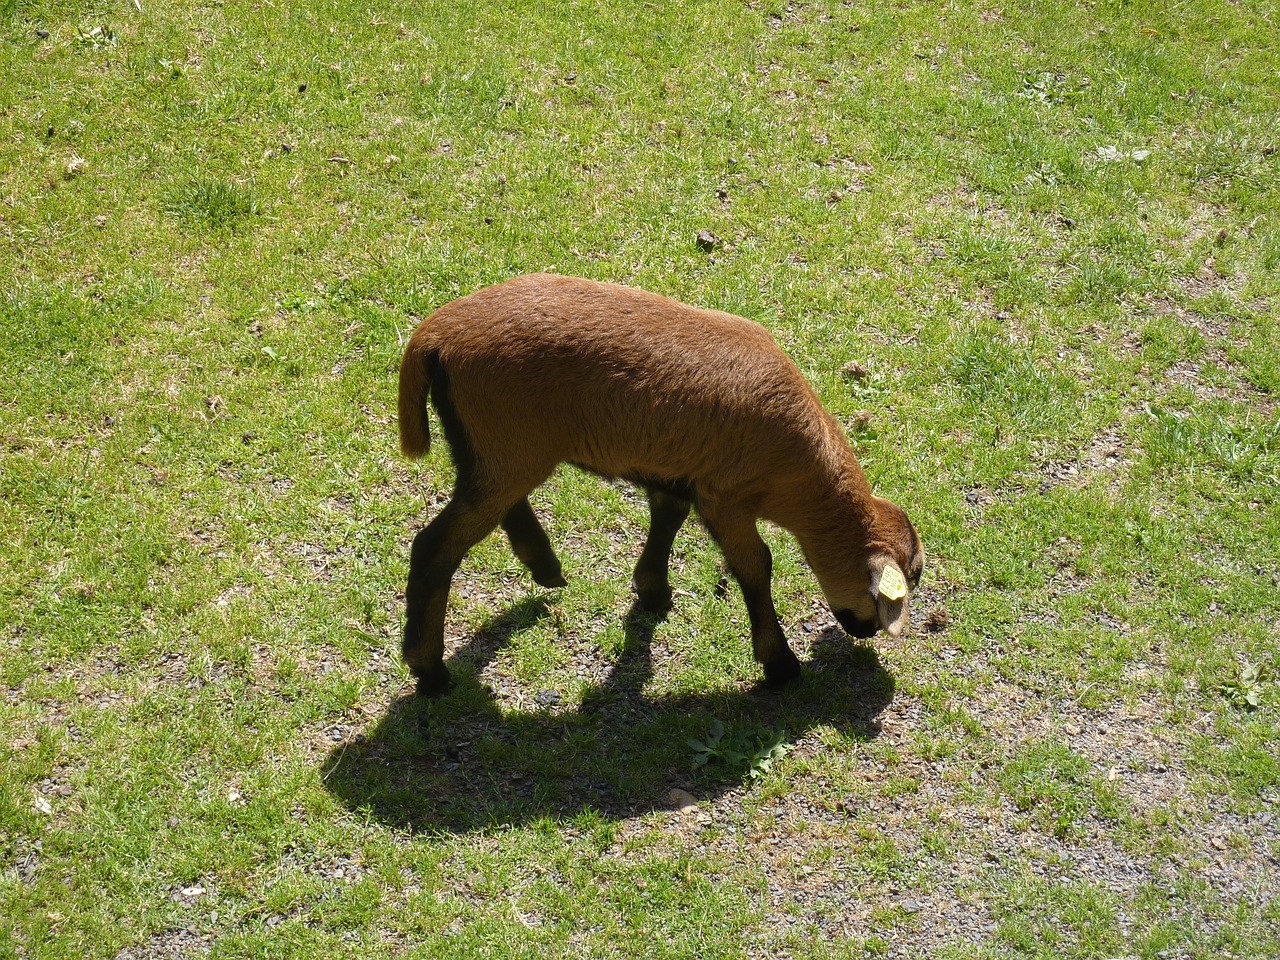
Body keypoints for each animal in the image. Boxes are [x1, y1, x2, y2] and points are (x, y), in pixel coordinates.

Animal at [396, 273, 921, 696]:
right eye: (910, 578)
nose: (867, 634)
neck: (798, 480)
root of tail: (433, 336)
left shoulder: (677, 473)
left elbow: (667, 518)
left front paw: (652, 590)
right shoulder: (725, 496)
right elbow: (756, 566)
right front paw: (780, 664)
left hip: (495, 448)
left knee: (495, 503)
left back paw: (543, 563)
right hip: (507, 441)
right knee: (435, 548)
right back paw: (430, 671)